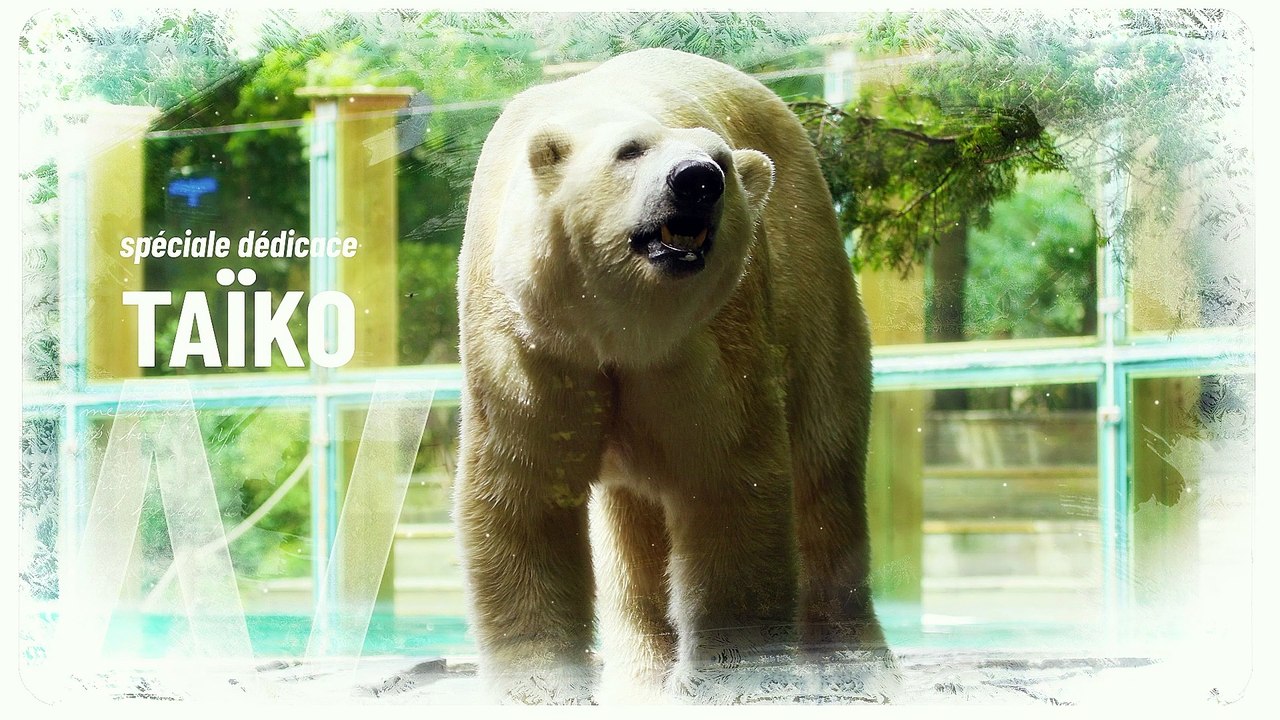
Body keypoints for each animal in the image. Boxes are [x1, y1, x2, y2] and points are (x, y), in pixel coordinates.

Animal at [454, 47, 890, 704]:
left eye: (722, 161)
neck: (618, 332)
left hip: (811, 277)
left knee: (824, 470)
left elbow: (726, 483)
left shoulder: (704, 346)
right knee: (631, 533)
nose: (697, 180)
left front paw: (725, 680)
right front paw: (542, 684)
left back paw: (853, 663)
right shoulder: (530, 349)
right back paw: (640, 676)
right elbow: (526, 496)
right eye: (628, 151)